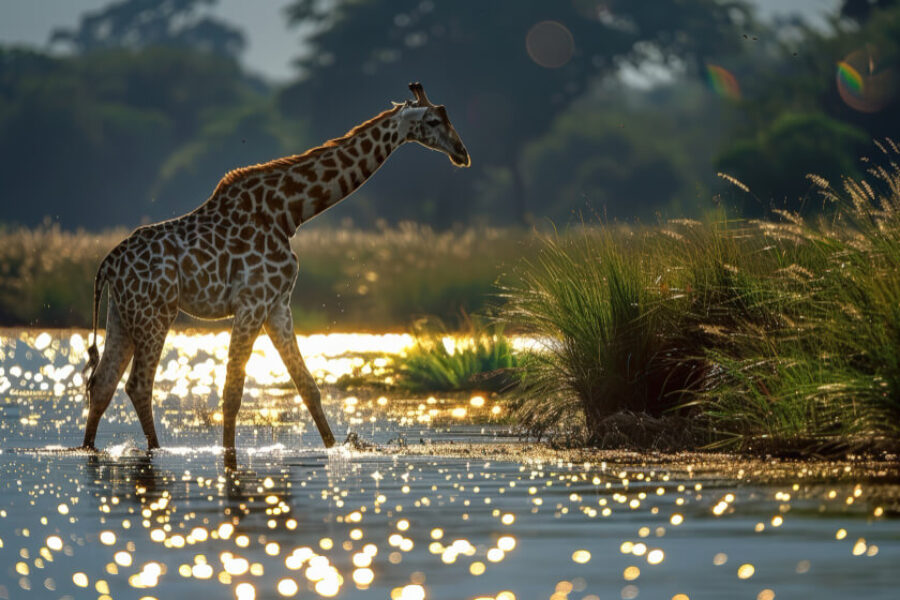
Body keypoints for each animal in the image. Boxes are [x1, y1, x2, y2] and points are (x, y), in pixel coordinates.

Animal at [81, 82, 470, 452]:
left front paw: (334, 447)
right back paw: (156, 451)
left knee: (102, 383)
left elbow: (307, 386)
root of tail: (108, 264)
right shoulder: (253, 301)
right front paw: (228, 455)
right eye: (433, 121)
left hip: (122, 315)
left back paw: (88, 448)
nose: (462, 153)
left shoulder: (277, 305)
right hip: (155, 313)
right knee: (137, 385)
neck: (290, 212)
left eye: (447, 116)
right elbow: (233, 391)